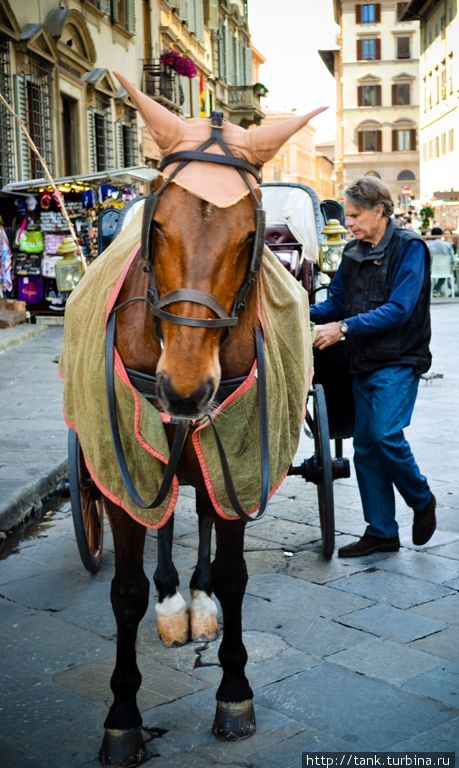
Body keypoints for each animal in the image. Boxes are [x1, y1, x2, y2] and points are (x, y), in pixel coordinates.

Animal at [62, 76, 328, 768]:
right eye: (156, 224)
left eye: (251, 233)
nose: (184, 387)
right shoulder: (120, 467)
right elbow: (125, 591)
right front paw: (123, 717)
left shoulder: (237, 457)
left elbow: (235, 575)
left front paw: (233, 690)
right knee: (164, 521)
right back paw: (172, 599)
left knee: (202, 515)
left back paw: (198, 598)